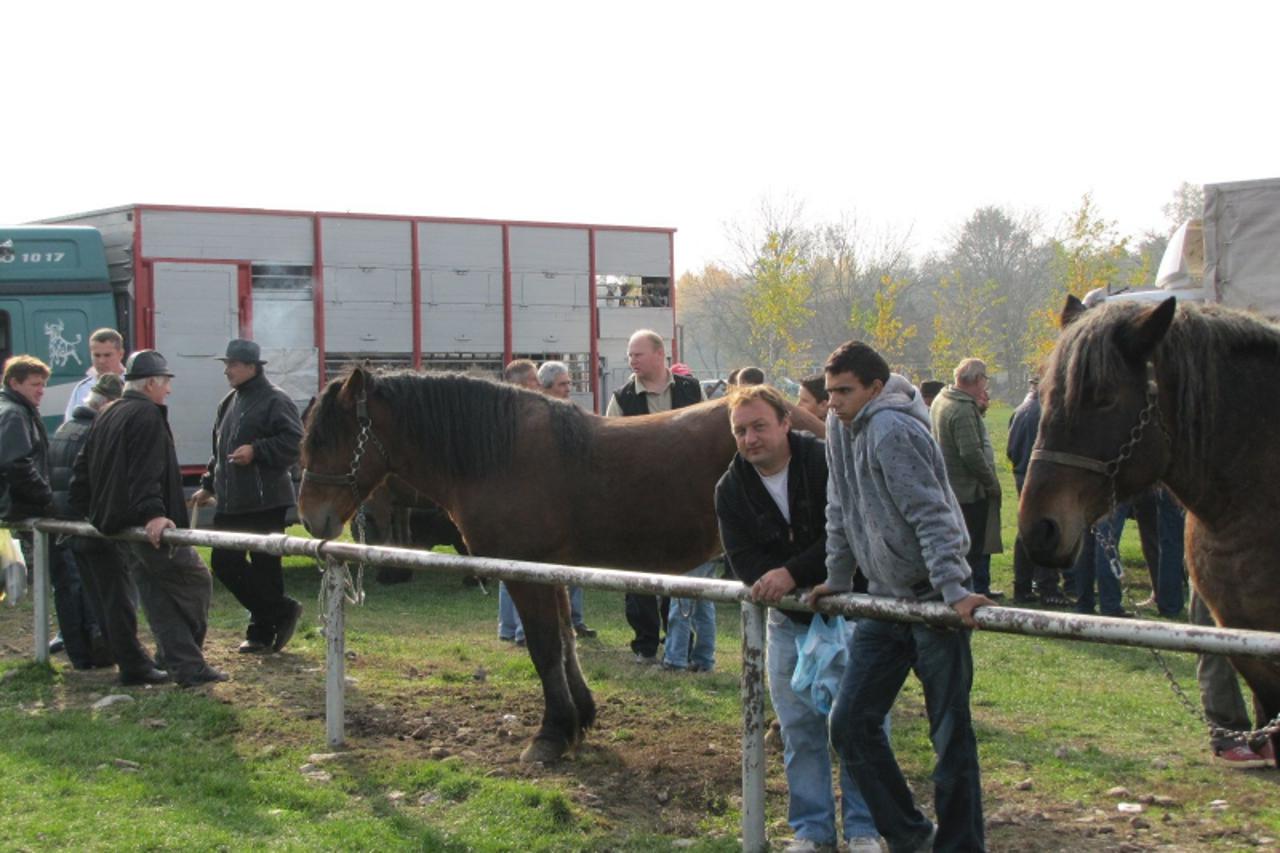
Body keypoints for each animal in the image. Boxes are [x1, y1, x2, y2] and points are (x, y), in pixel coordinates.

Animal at [296, 363, 742, 758]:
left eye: (323, 441)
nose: (310, 516)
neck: (500, 456)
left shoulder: (527, 574)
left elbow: (544, 649)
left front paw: (552, 734)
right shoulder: (552, 571)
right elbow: (565, 641)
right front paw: (581, 718)